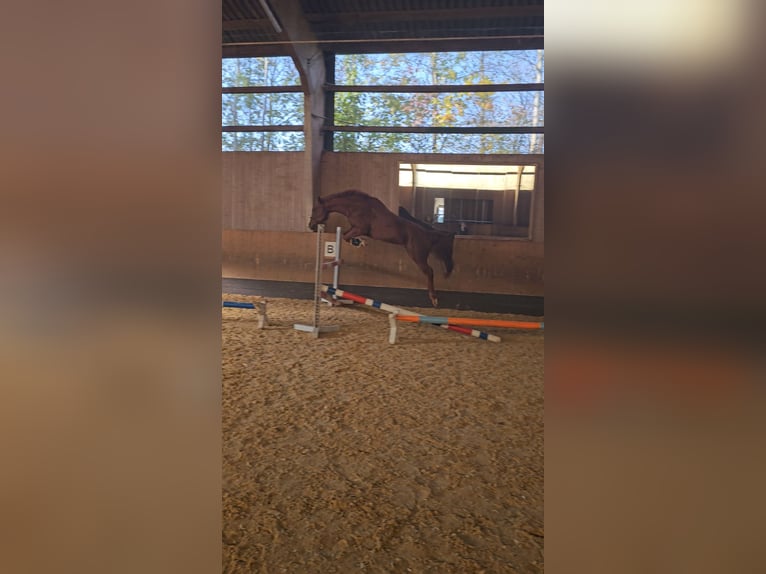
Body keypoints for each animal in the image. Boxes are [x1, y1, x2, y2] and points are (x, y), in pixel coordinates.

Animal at [308, 191, 456, 308]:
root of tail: (427, 235)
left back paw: (434, 298)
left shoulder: (360, 228)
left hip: (417, 256)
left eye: (315, 209)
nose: (310, 225)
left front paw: (360, 242)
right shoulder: (355, 228)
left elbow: (345, 236)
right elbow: (346, 235)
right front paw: (360, 242)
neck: (355, 207)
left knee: (430, 272)